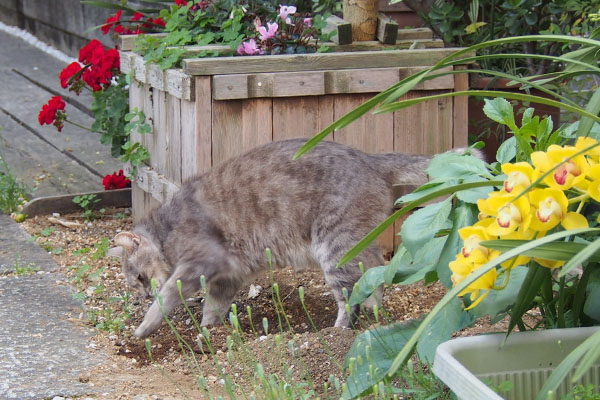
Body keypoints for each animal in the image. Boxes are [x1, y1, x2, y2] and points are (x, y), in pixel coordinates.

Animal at [110, 138, 450, 338]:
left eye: (139, 277)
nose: (142, 295)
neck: (167, 229)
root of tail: (370, 159)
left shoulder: (199, 262)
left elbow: (167, 298)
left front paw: (143, 328)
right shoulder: (226, 277)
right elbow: (213, 308)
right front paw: (210, 334)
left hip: (334, 248)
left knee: (348, 297)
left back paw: (337, 334)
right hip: (357, 244)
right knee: (374, 275)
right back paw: (373, 312)